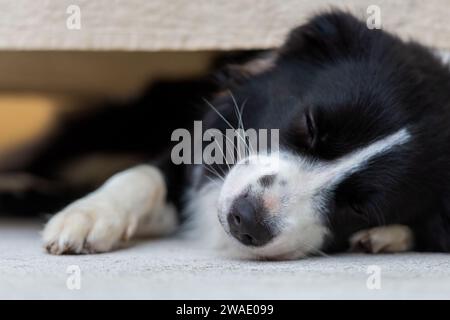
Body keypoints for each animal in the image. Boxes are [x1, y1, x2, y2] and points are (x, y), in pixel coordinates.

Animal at [39, 11, 450, 258]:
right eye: (310, 124)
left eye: (360, 208)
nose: (246, 220)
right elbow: (144, 175)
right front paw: (88, 215)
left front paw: (388, 233)